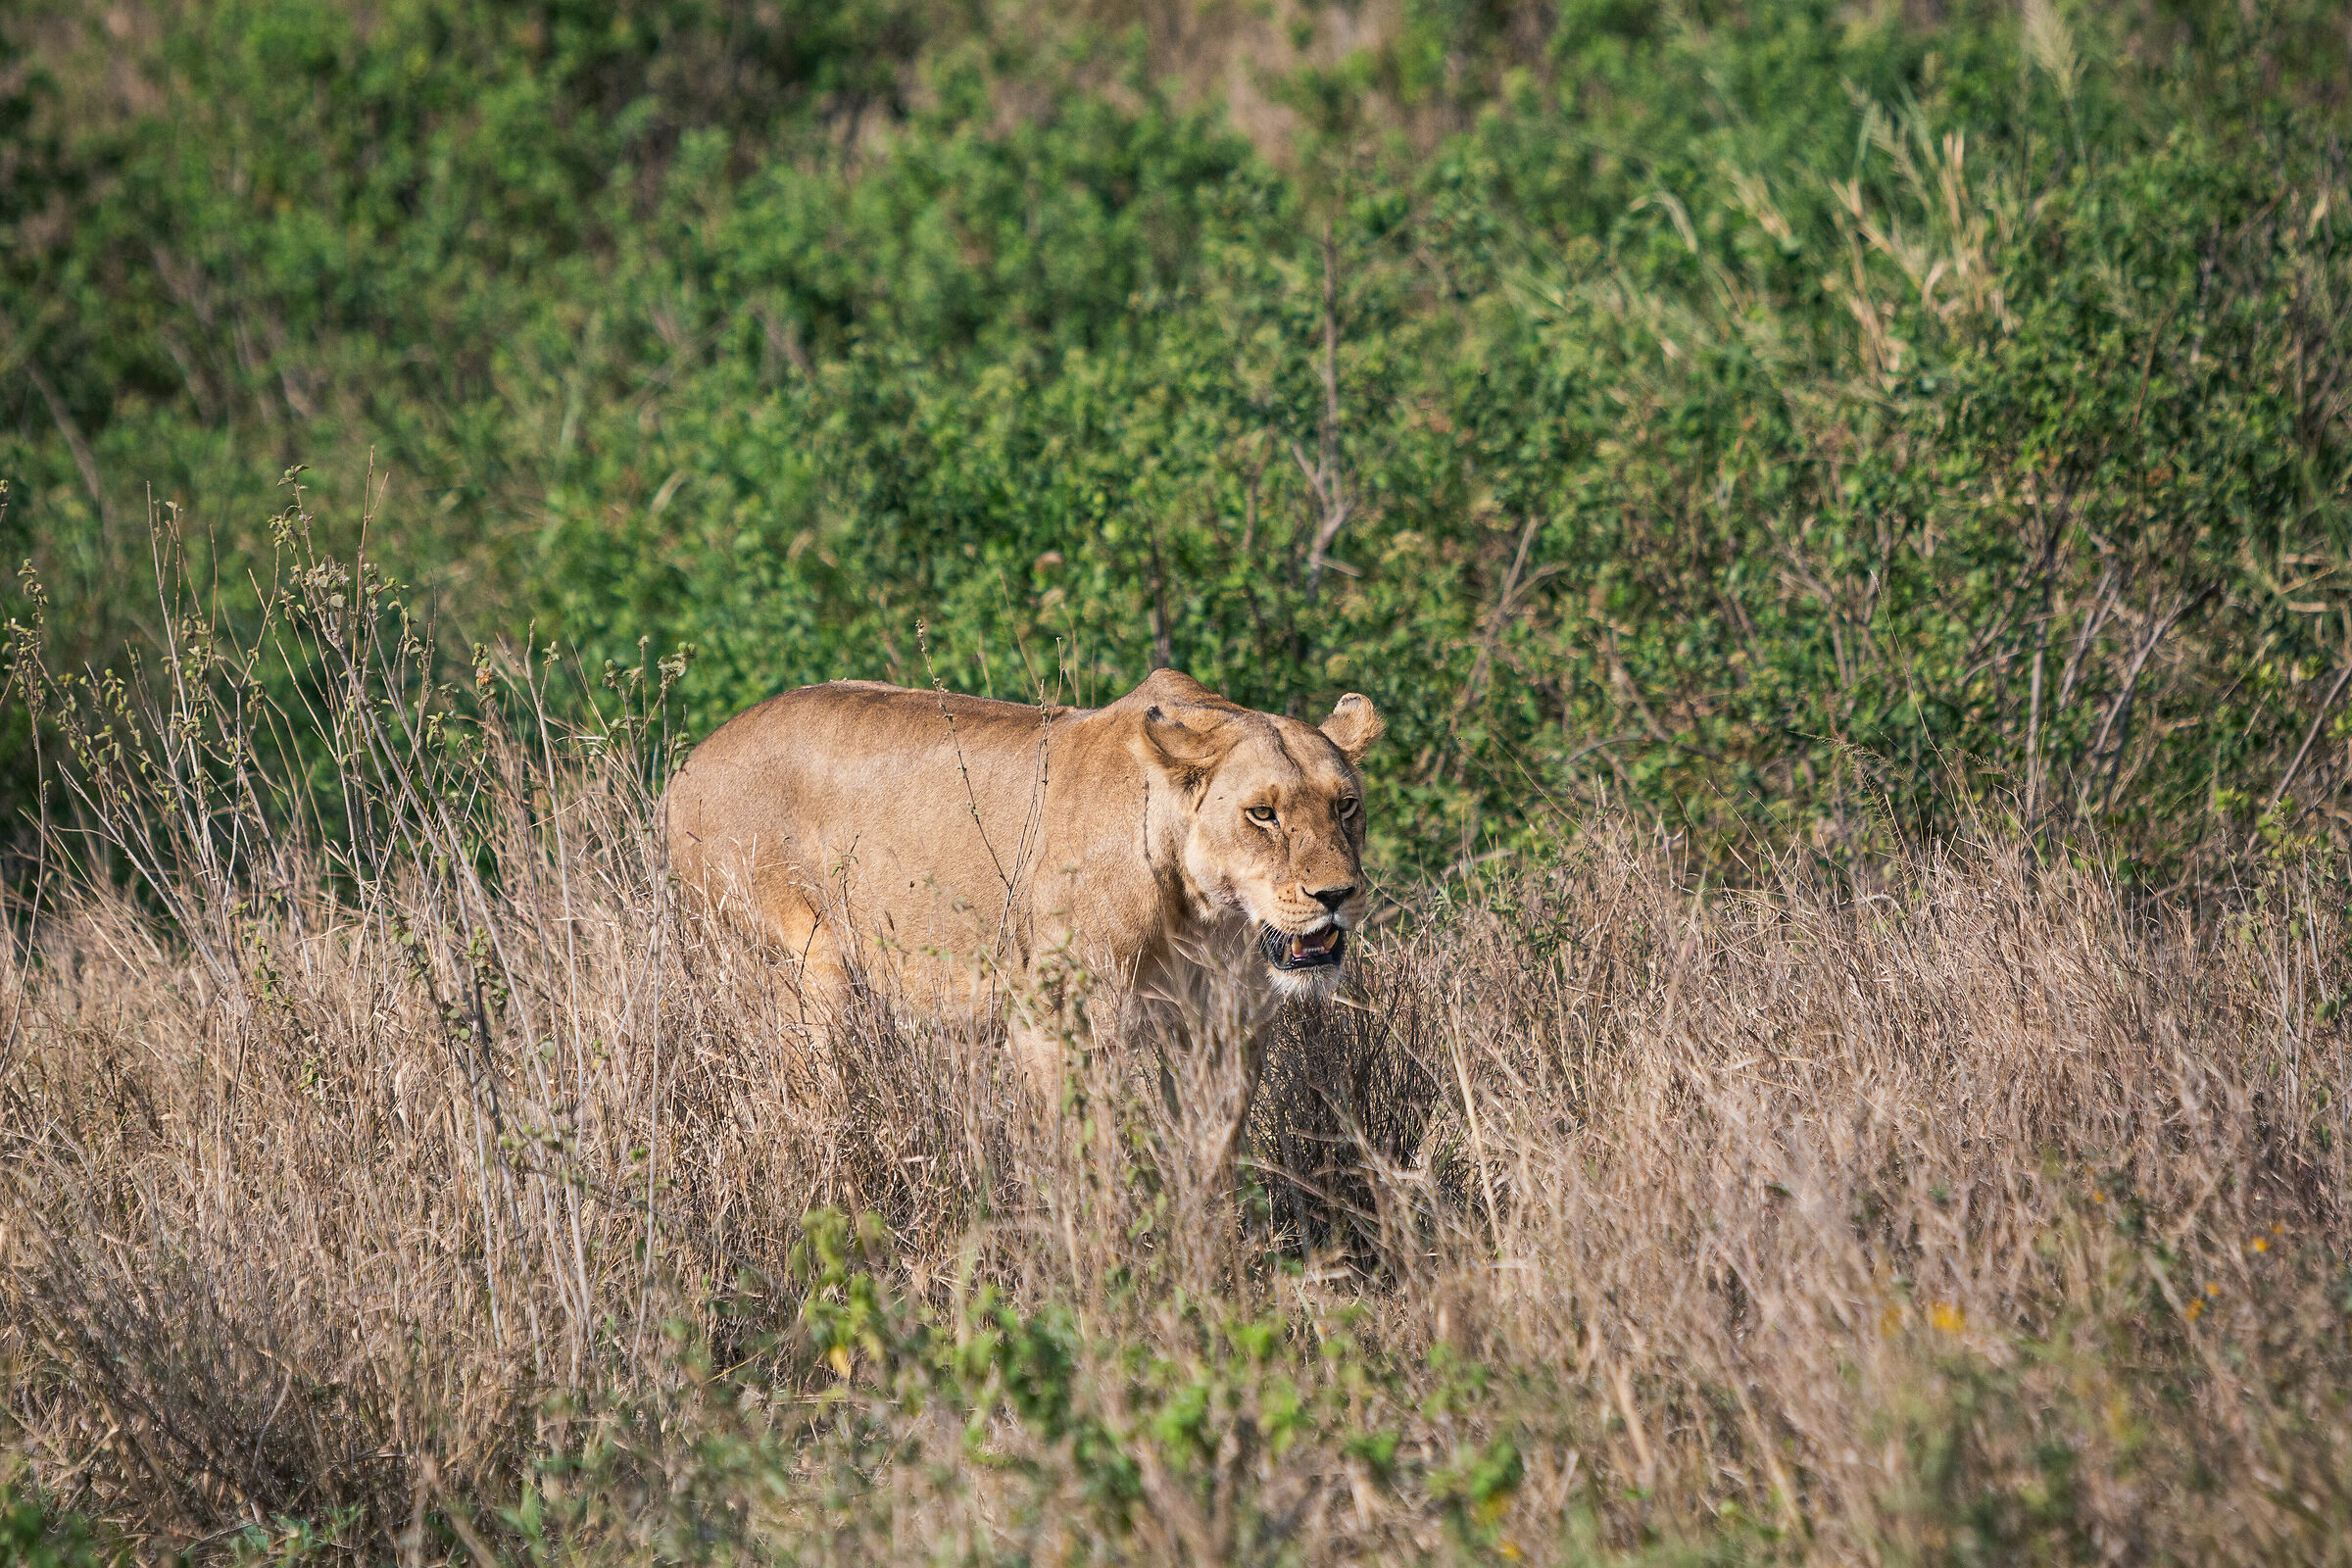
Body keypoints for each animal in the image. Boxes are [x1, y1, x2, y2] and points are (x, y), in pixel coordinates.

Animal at [664, 668, 1382, 1088]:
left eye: (1345, 805)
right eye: (1263, 813)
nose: (1336, 896)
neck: (1207, 922)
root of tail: (686, 769)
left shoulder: (1229, 1037)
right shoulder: (1052, 1028)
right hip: (797, 972)